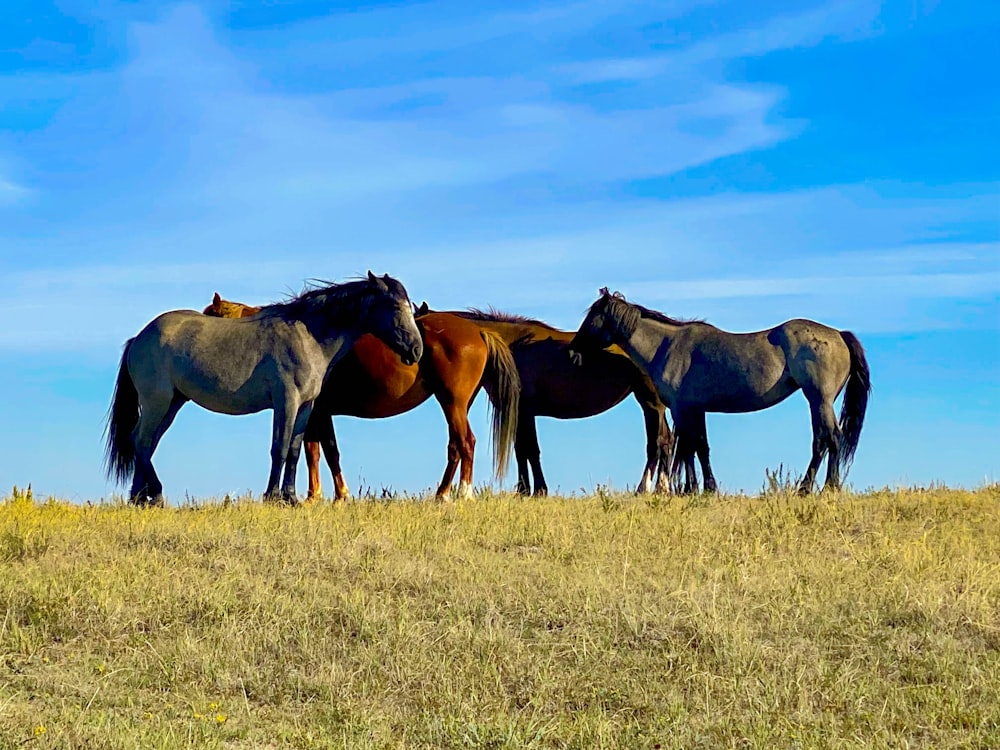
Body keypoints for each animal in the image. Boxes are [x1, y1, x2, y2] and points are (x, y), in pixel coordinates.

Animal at [104, 274, 422, 508]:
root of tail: (139, 337)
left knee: (146, 442)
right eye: (395, 307)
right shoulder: (286, 402)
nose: (416, 350)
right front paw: (272, 496)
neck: (308, 335)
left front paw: (290, 497)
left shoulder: (306, 406)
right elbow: (279, 448)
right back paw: (154, 494)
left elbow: (294, 449)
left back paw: (139, 497)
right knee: (141, 440)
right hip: (157, 401)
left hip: (173, 403)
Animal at [199, 296, 520, 502]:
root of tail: (478, 331)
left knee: (464, 443)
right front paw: (322, 495)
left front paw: (331, 496)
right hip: (456, 404)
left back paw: (457, 494)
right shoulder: (317, 413)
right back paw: (444, 493)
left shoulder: (316, 412)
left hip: (452, 402)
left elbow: (323, 451)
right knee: (458, 444)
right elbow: (318, 450)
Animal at [428, 308, 672, 496]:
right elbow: (522, 450)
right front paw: (525, 490)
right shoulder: (523, 414)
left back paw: (645, 488)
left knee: (658, 441)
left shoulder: (524, 411)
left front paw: (536, 490)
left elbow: (530, 450)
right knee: (666, 441)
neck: (510, 345)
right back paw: (663, 488)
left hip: (651, 403)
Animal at [572, 290, 868, 496]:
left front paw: (693, 489)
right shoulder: (696, 409)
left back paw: (817, 488)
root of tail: (838, 335)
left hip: (818, 399)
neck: (667, 345)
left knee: (828, 438)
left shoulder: (682, 409)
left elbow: (688, 446)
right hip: (819, 401)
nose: (573, 351)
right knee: (827, 439)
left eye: (592, 317)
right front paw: (705, 488)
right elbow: (700, 446)